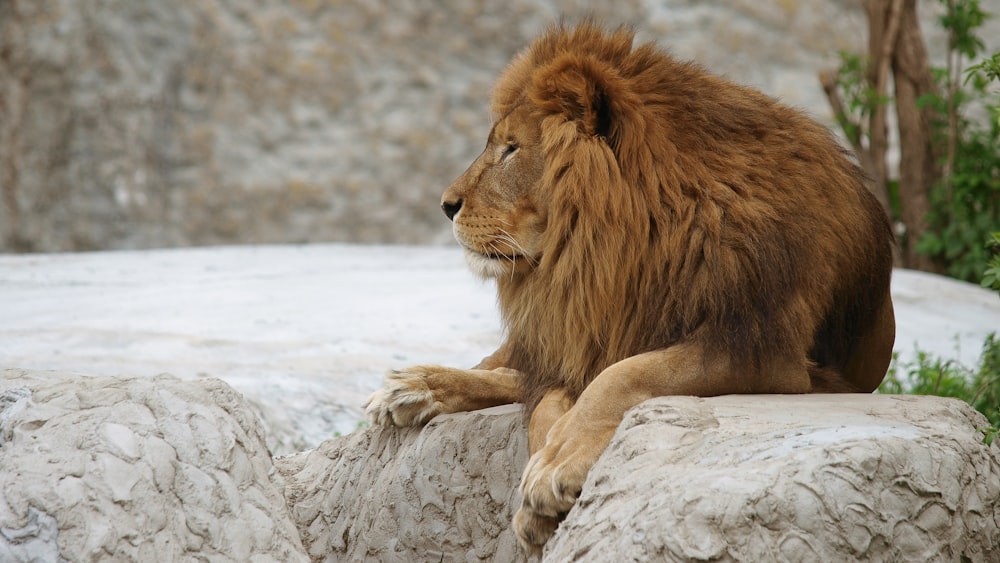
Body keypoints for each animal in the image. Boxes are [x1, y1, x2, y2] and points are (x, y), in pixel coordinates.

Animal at [364, 23, 896, 556]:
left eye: (512, 148)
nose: (445, 205)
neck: (627, 248)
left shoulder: (761, 350)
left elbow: (621, 376)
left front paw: (554, 470)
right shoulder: (586, 333)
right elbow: (549, 402)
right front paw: (543, 483)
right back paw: (414, 386)